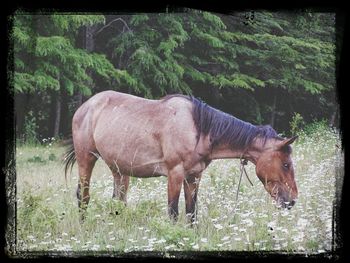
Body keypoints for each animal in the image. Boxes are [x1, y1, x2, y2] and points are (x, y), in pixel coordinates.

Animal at [63, 91, 298, 223]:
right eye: (286, 164)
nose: (292, 201)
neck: (198, 129)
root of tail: (85, 106)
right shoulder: (175, 174)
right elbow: (174, 212)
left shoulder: (193, 177)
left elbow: (191, 213)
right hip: (86, 159)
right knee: (83, 196)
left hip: (119, 170)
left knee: (118, 201)